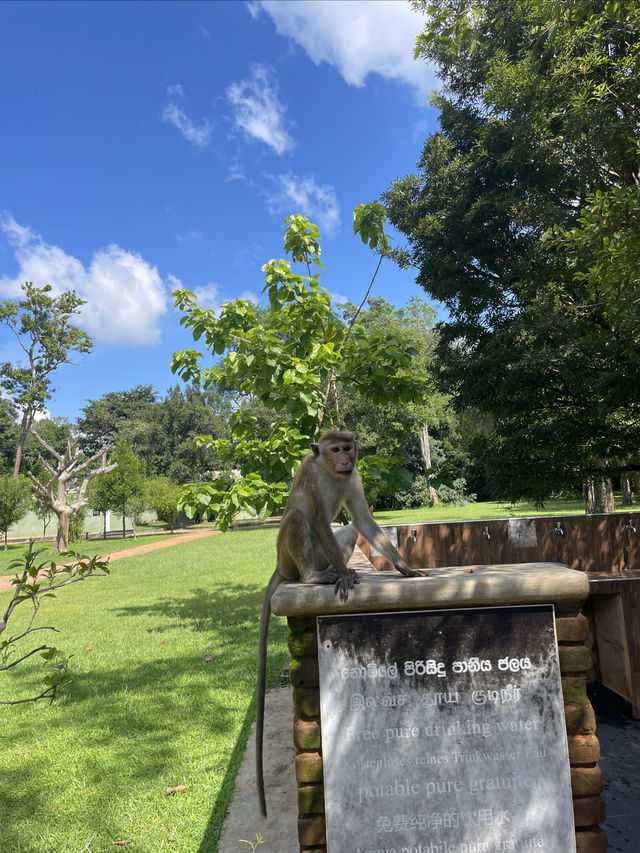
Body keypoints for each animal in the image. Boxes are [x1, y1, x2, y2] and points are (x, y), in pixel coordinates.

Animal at [255, 430, 424, 816]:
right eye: (335, 450)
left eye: (348, 448)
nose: (346, 459)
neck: (332, 473)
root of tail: (280, 566)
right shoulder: (312, 476)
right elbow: (318, 521)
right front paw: (347, 576)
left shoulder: (355, 478)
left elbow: (361, 520)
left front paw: (403, 567)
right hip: (289, 556)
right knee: (299, 519)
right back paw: (315, 578)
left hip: (324, 554)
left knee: (344, 530)